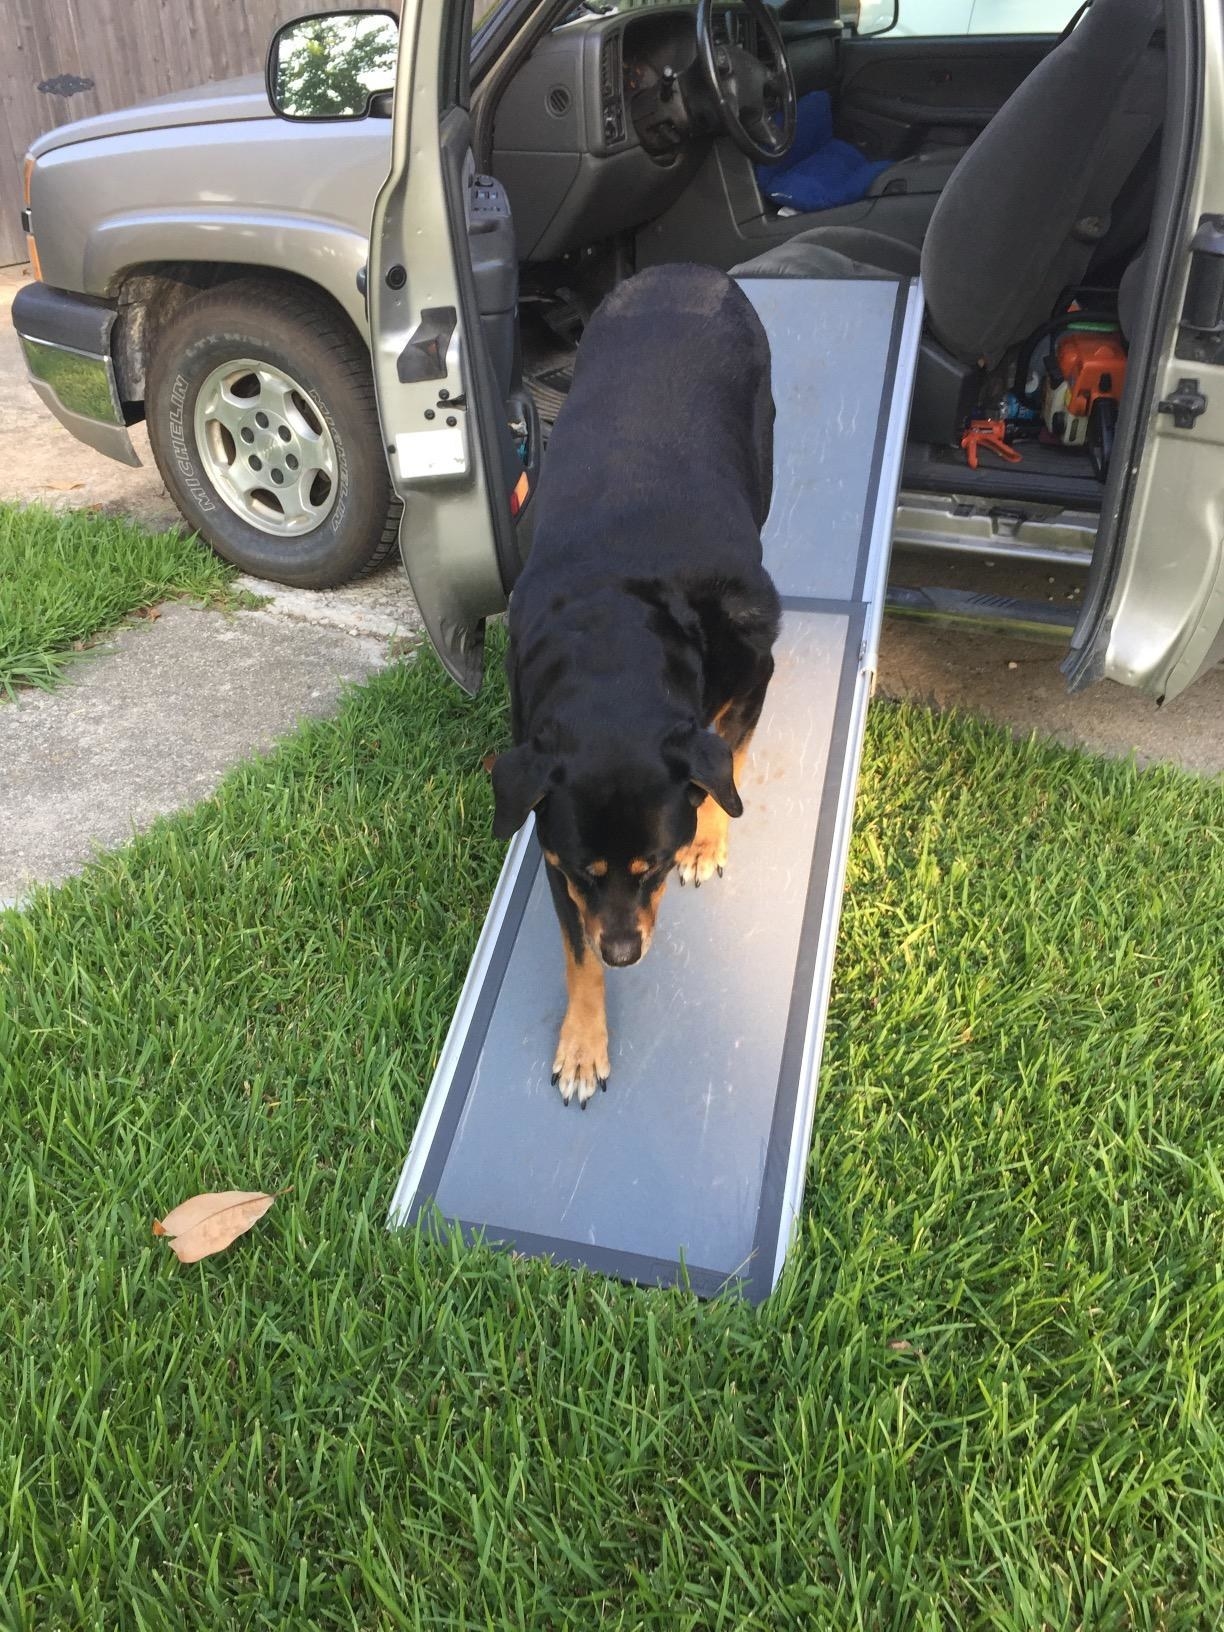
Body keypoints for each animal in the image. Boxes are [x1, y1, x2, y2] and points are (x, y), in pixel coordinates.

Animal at [486, 264, 776, 1109]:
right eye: (589, 874)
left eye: (656, 867)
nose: (624, 953)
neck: (612, 635)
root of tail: (684, 270)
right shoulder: (551, 843)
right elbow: (573, 953)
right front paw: (584, 1042)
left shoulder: (757, 665)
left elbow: (725, 758)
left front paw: (709, 834)